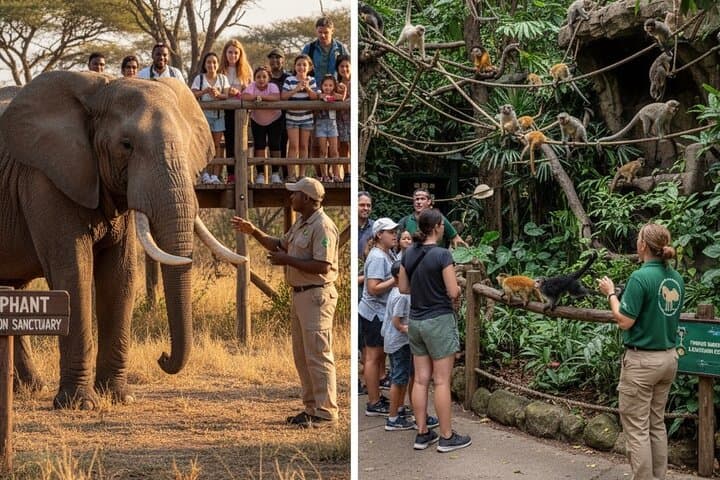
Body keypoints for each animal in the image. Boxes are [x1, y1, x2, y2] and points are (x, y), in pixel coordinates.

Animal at [0, 71, 245, 409]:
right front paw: (80, 404)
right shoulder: (45, 179)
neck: (101, 87)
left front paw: (118, 397)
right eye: (126, 145)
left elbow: (120, 274)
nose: (162, 356)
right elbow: (74, 272)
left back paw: (30, 388)